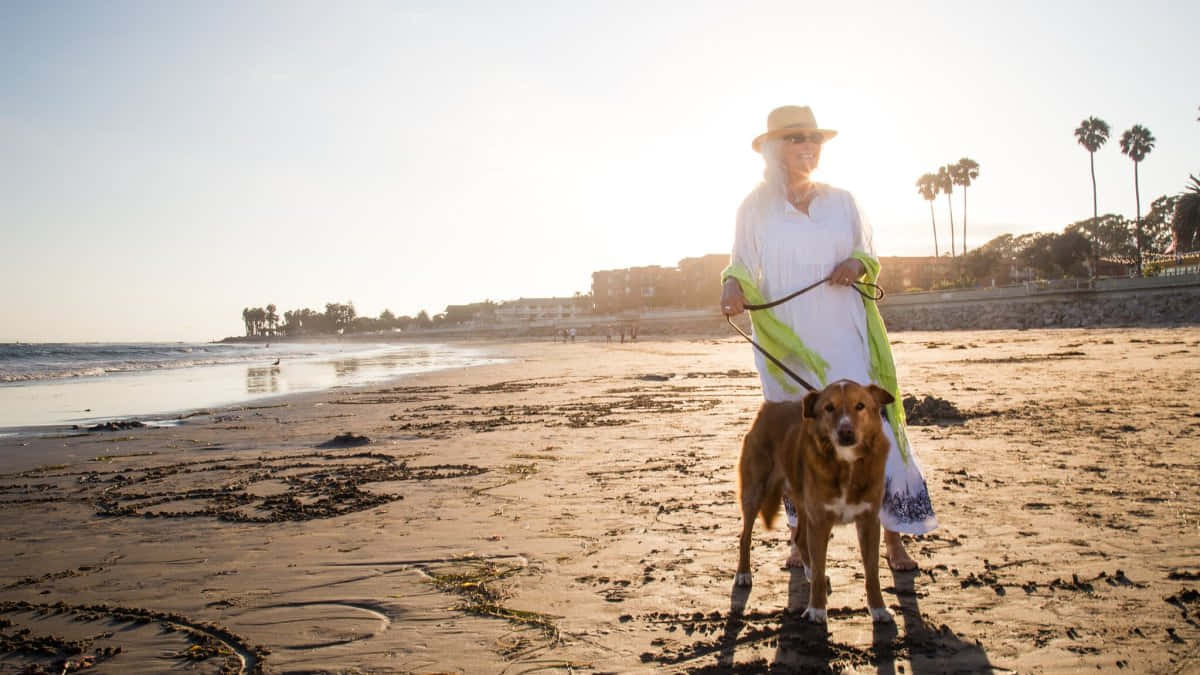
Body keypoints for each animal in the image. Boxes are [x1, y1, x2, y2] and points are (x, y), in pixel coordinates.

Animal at [734, 379, 897, 619]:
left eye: (860, 406)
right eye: (829, 408)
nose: (845, 432)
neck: (846, 464)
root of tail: (770, 406)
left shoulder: (868, 522)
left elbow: (872, 572)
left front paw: (878, 608)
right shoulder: (820, 521)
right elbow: (820, 570)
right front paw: (817, 610)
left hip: (803, 504)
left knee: (800, 538)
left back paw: (808, 570)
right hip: (755, 492)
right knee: (745, 536)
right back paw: (744, 574)